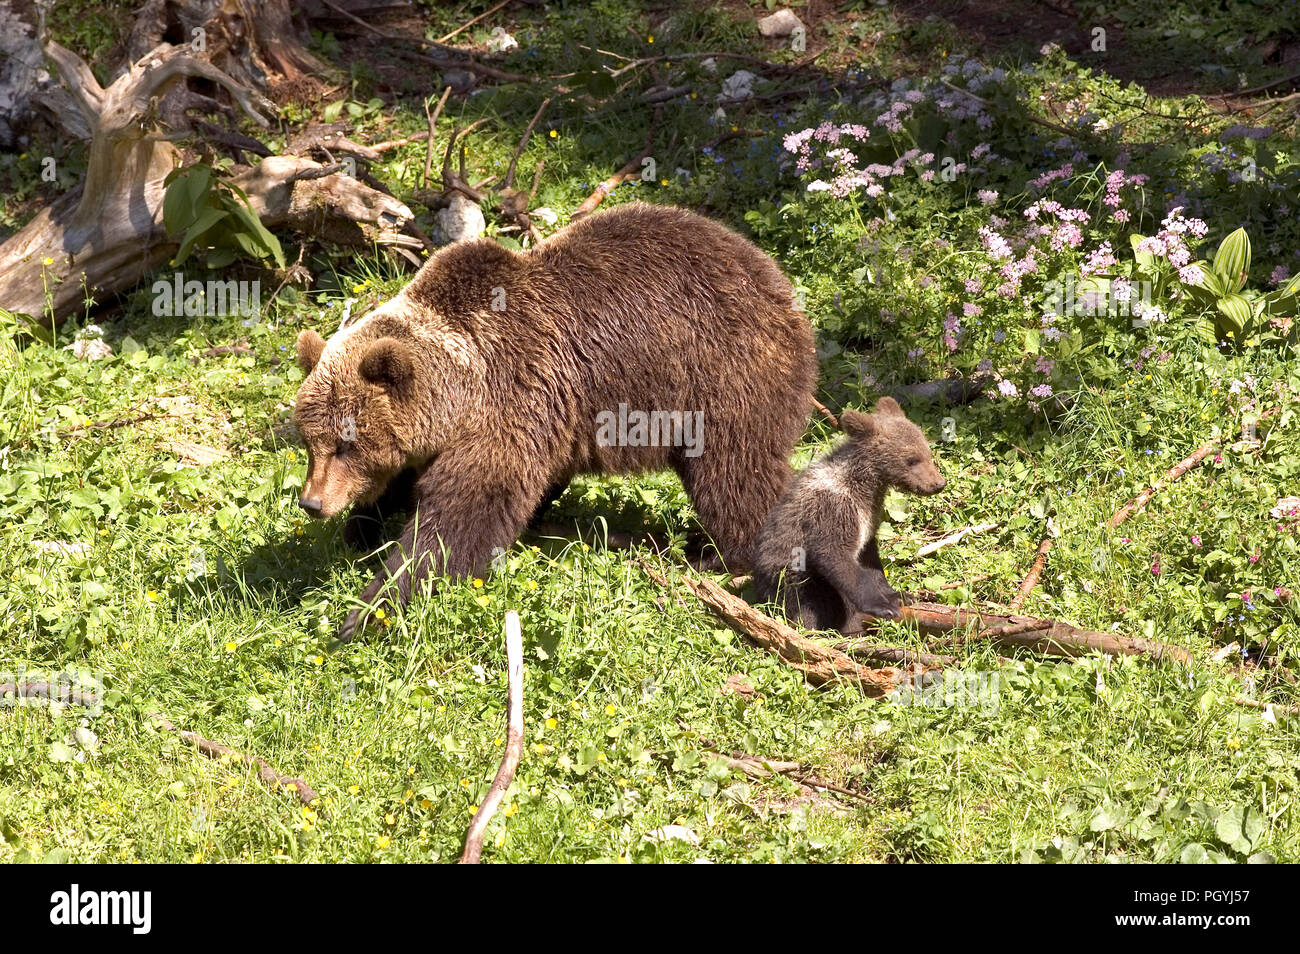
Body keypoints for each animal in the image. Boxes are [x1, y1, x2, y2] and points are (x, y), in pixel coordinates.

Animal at [292, 202, 818, 640]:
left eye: (346, 443)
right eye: (309, 441)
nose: (312, 503)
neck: (461, 384)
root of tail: (781, 284)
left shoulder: (514, 396)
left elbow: (463, 514)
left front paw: (370, 609)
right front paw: (362, 530)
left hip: (721, 378)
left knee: (735, 474)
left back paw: (736, 561)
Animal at [752, 397, 945, 635]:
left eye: (927, 452)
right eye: (911, 459)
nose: (938, 483)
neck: (865, 486)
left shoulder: (868, 520)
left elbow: (870, 561)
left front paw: (898, 595)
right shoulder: (832, 511)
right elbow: (835, 555)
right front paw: (881, 607)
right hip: (789, 577)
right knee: (809, 603)